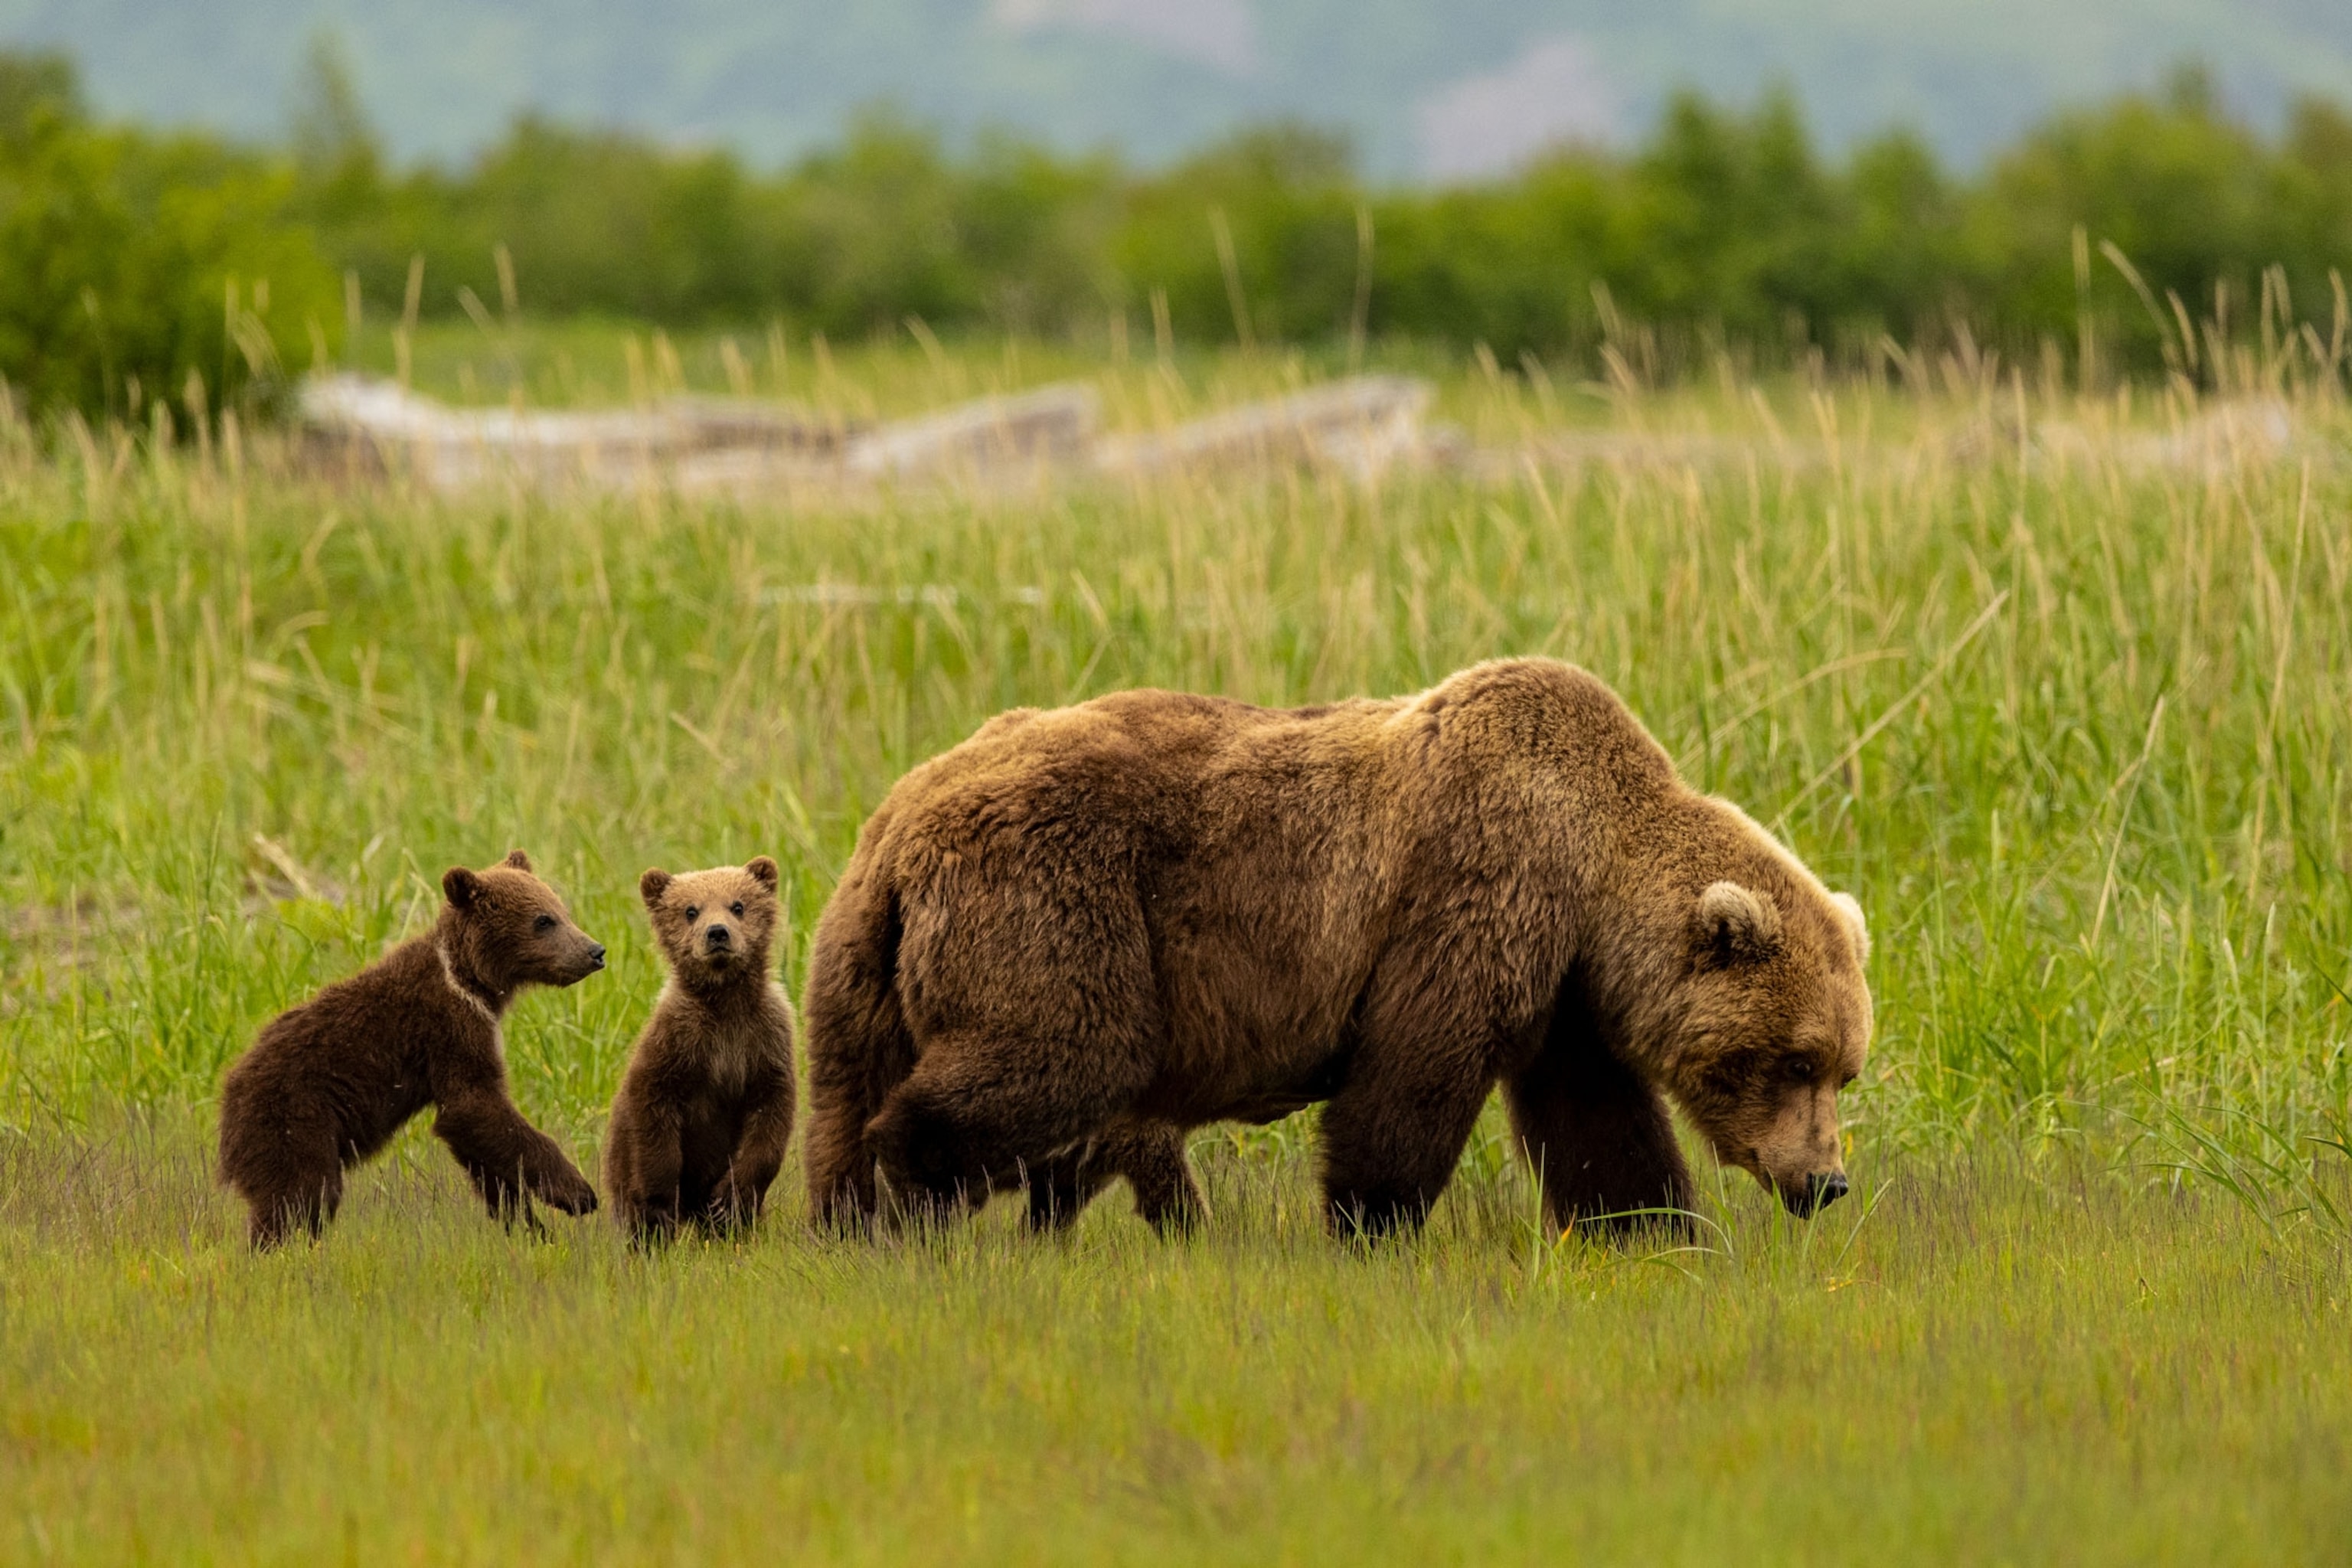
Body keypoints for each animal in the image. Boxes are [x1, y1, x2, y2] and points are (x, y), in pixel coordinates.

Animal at [218, 849, 605, 1248]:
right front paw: (578, 1193)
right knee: (300, 1195)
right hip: (296, 1118)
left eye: (562, 910)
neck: (469, 980)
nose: (595, 951)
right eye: (543, 920)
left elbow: (483, 1144)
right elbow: (475, 1108)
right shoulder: (450, 1032)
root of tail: (227, 1095)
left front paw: (532, 1227)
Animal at [602, 857, 798, 1241]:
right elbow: (654, 1117)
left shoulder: (765, 1042)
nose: (717, 933)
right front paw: (661, 1204)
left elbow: (770, 1119)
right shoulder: (676, 1044)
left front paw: (728, 1202)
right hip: (620, 1170)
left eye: (738, 905)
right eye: (690, 911)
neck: (725, 1003)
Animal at [801, 657, 1873, 1242]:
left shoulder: (1566, 990)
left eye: (1843, 1068)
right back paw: (918, 1194)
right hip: (1057, 903)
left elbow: (1599, 1123)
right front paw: (1373, 1224)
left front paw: (1653, 1233)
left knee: (845, 1092)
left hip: (856, 953)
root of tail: (901, 822)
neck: (1592, 875)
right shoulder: (1476, 889)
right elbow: (1413, 1077)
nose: (1827, 1182)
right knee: (1059, 1050)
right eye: (1793, 1058)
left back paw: (848, 1221)